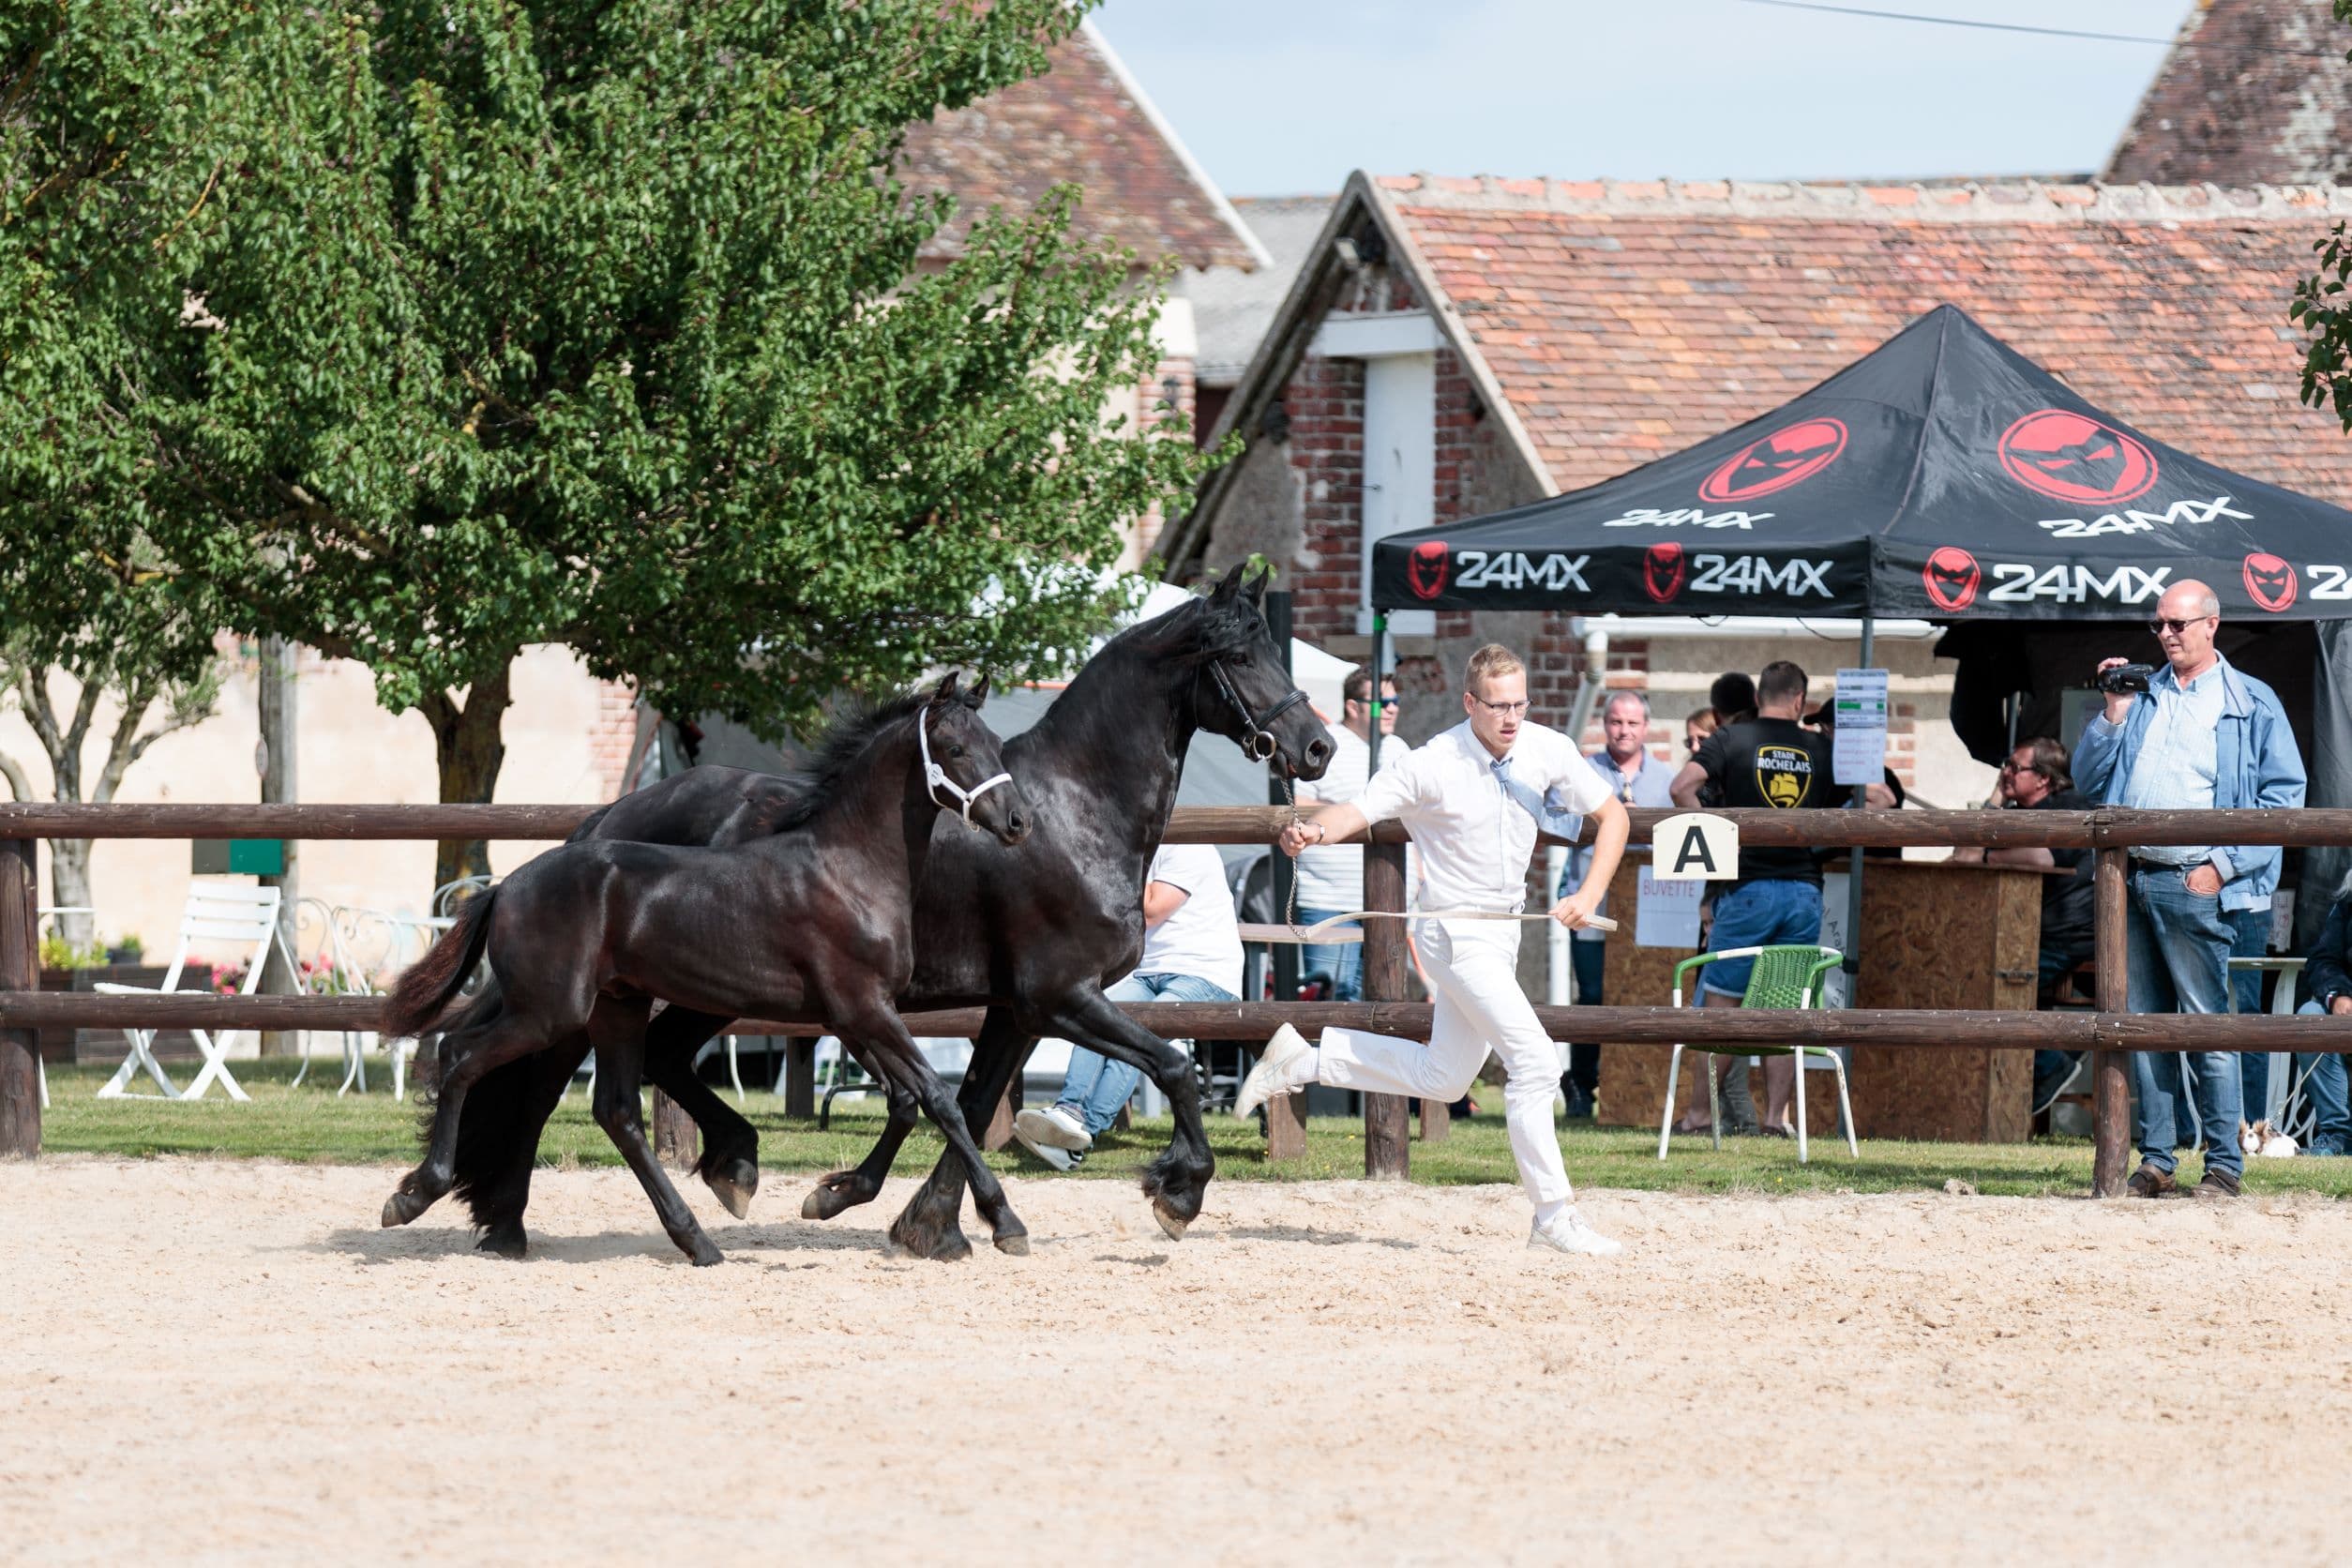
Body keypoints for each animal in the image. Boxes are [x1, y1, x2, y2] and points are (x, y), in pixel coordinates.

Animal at [376, 674, 1033, 1265]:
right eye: (955, 749)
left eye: (996, 744)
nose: (1019, 822)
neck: (849, 868)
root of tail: (506, 887)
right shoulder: (865, 1007)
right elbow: (939, 1098)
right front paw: (1005, 1223)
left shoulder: (856, 1016)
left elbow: (910, 1099)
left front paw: (830, 1195)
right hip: (548, 1011)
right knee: (459, 1055)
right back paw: (415, 1195)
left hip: (615, 1009)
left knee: (616, 1111)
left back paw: (697, 1241)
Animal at [444, 564, 1330, 1261]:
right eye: (1238, 655)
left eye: (1272, 647)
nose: (1318, 748)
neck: (1073, 811)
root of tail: (604, 822)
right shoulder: (1061, 995)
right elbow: (1172, 1067)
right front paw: (1177, 1193)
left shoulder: (1015, 1008)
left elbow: (965, 1102)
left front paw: (920, 1221)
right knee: (547, 1079)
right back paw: (517, 1217)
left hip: (699, 994)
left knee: (642, 1066)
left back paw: (706, 1171)